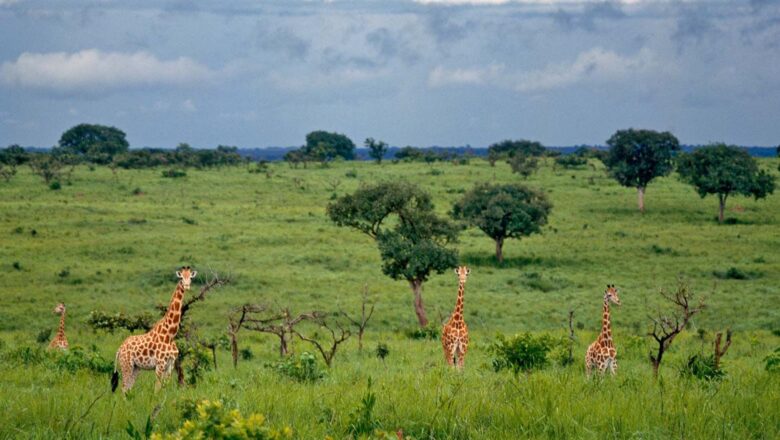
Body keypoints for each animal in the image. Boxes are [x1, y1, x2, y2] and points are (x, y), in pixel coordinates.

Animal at [111, 266, 197, 394]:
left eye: (190, 277)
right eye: (181, 277)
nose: (187, 286)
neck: (170, 334)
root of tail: (119, 349)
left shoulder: (170, 365)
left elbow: (165, 387)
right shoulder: (160, 364)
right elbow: (157, 388)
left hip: (136, 368)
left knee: (128, 388)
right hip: (126, 365)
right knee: (124, 388)